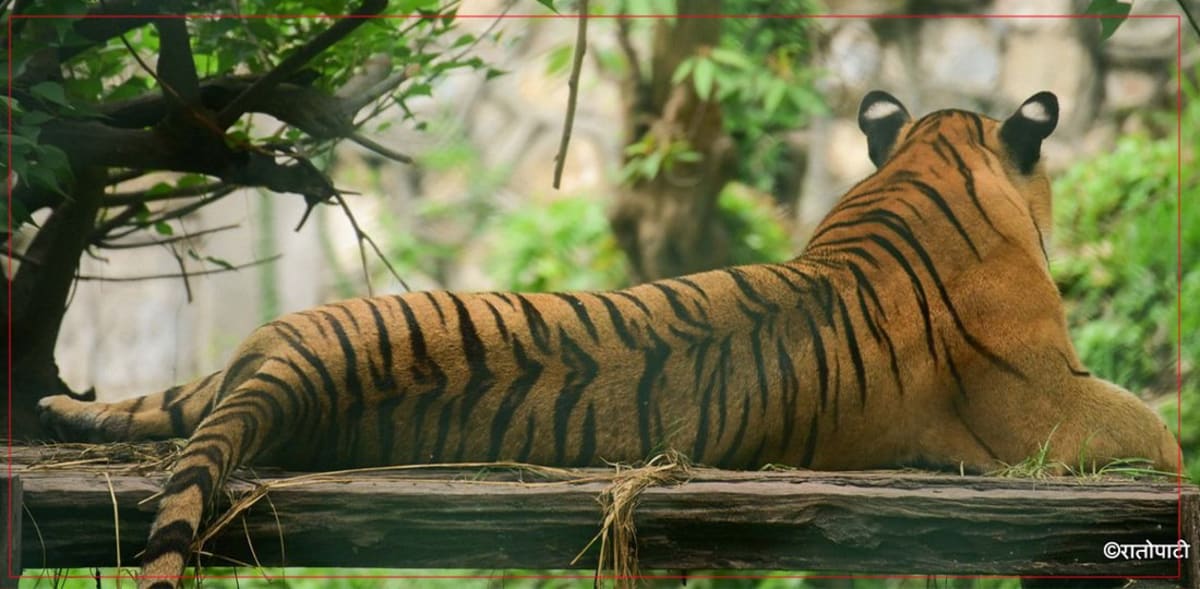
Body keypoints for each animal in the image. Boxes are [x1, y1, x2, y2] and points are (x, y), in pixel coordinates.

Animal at [37, 90, 1180, 588]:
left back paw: (57, 405)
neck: (928, 163)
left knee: (164, 400)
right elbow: (1161, 431)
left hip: (244, 357)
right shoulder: (1053, 407)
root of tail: (294, 366)